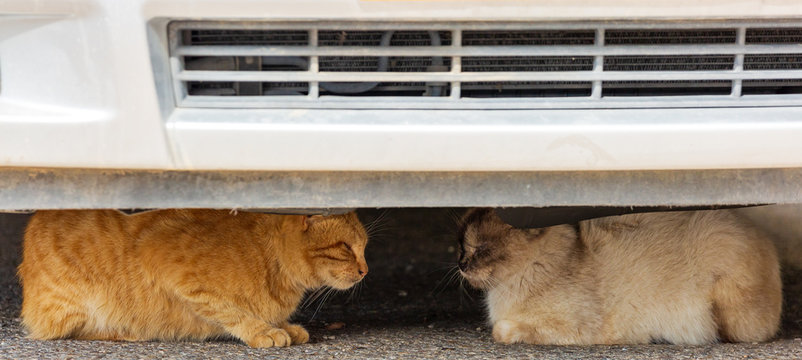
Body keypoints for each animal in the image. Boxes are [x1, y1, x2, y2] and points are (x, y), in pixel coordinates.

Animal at [18, 210, 368, 348]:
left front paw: (282, 325)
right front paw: (263, 330)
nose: (366, 270)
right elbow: (232, 311)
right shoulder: (173, 268)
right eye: (345, 247)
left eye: (365, 247)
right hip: (76, 308)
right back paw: (125, 331)